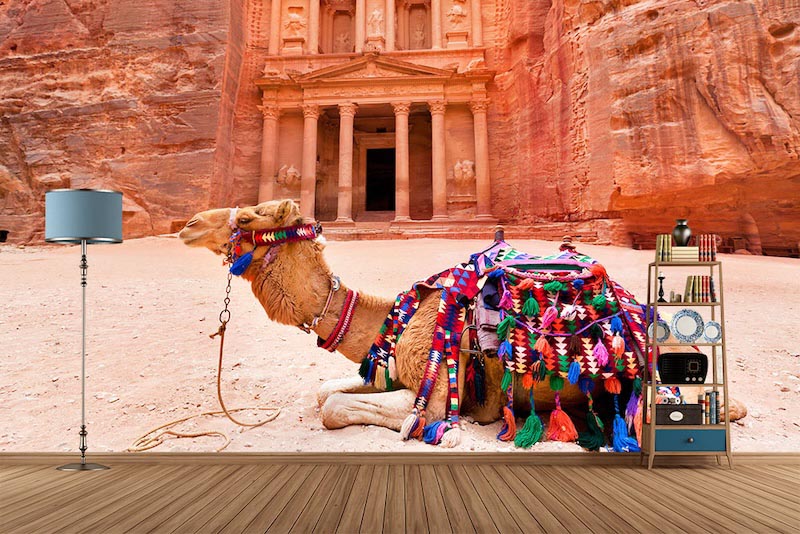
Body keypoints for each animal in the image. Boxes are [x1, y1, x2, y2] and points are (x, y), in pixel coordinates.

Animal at [179, 199, 594, 444]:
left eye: (247, 216)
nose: (189, 224)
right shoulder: (387, 368)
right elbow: (326, 392)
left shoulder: (435, 396)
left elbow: (333, 407)